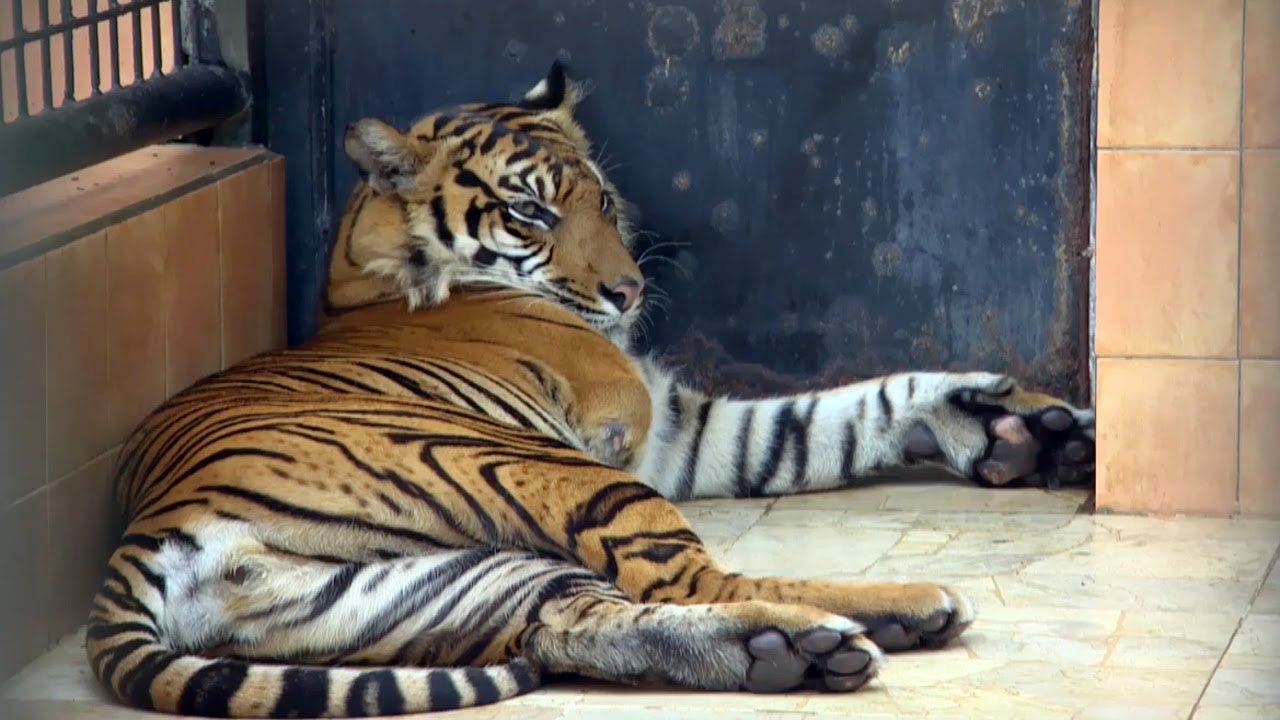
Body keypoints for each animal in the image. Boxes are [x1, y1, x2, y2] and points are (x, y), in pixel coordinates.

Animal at [85, 61, 1096, 718]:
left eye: (601, 201)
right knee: (697, 576)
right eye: (530, 211)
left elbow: (834, 415)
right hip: (541, 470)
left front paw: (1024, 431)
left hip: (449, 580)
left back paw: (786, 649)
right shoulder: (638, 428)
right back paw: (880, 613)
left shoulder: (685, 430)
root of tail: (157, 523)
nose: (628, 291)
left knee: (586, 620)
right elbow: (817, 423)